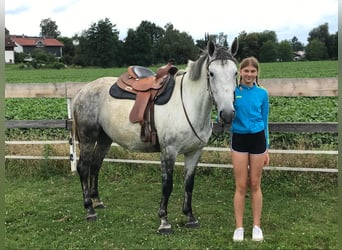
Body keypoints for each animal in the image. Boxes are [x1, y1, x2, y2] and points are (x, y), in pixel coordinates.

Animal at [71, 39, 238, 234]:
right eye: (211, 73)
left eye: (235, 72)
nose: (227, 114)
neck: (189, 104)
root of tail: (82, 91)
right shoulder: (169, 151)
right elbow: (167, 185)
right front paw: (164, 221)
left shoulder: (194, 152)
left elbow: (189, 184)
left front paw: (190, 217)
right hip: (88, 138)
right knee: (83, 168)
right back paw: (89, 209)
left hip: (105, 139)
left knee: (96, 165)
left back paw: (97, 201)